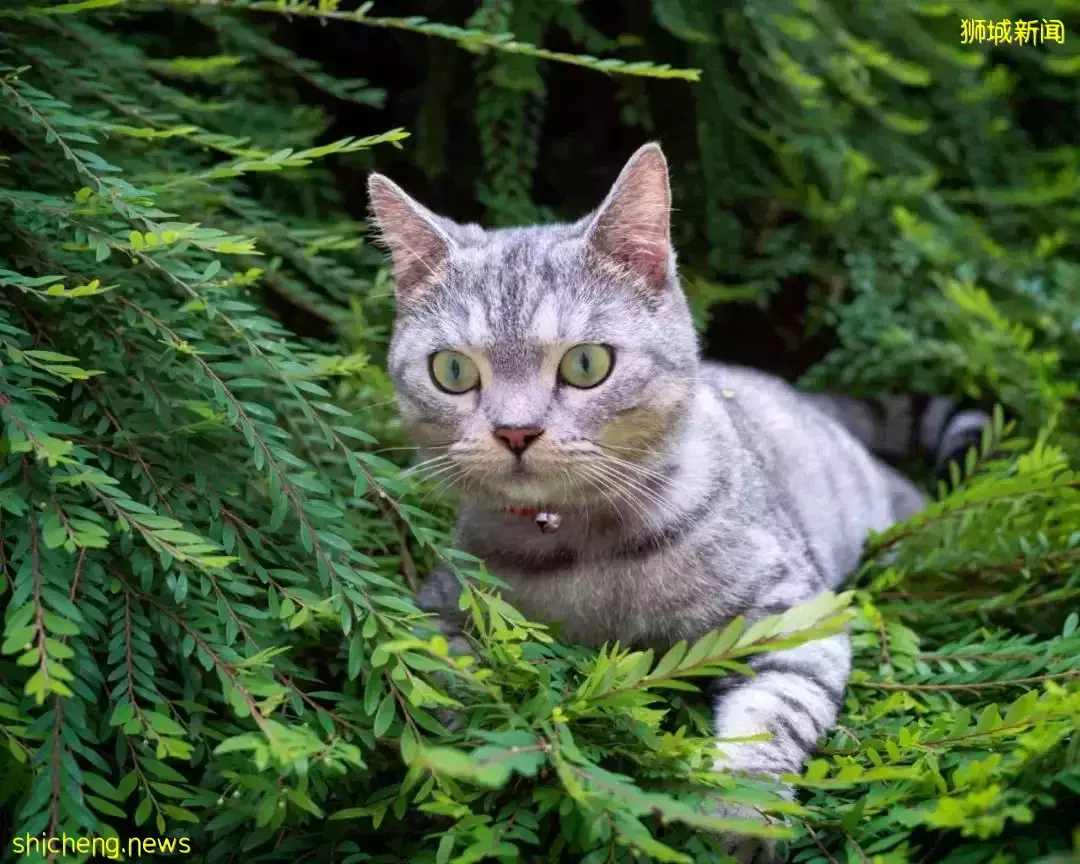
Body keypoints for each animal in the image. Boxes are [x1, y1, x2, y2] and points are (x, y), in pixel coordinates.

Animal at [369, 144, 989, 859]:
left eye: (586, 364)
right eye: (453, 371)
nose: (516, 431)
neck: (586, 546)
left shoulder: (795, 615)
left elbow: (770, 718)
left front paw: (739, 814)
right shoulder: (437, 608)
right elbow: (444, 678)